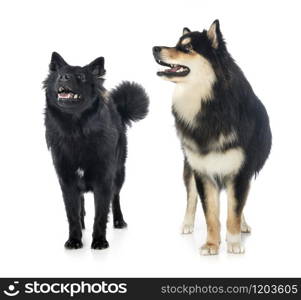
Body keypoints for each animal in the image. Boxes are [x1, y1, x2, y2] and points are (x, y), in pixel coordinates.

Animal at [43, 52, 149, 250]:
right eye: (59, 74)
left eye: (81, 76)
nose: (63, 77)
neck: (76, 130)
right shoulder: (67, 180)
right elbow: (72, 214)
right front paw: (74, 240)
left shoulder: (104, 179)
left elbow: (101, 214)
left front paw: (99, 241)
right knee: (82, 202)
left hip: (119, 173)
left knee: (115, 198)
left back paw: (119, 221)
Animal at [151, 20, 270, 255]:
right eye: (177, 44)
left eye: (187, 48)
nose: (155, 48)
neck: (210, 105)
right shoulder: (203, 172)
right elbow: (210, 215)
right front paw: (212, 244)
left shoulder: (241, 172)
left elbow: (234, 210)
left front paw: (234, 242)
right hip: (189, 166)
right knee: (191, 197)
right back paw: (187, 223)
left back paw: (242, 226)